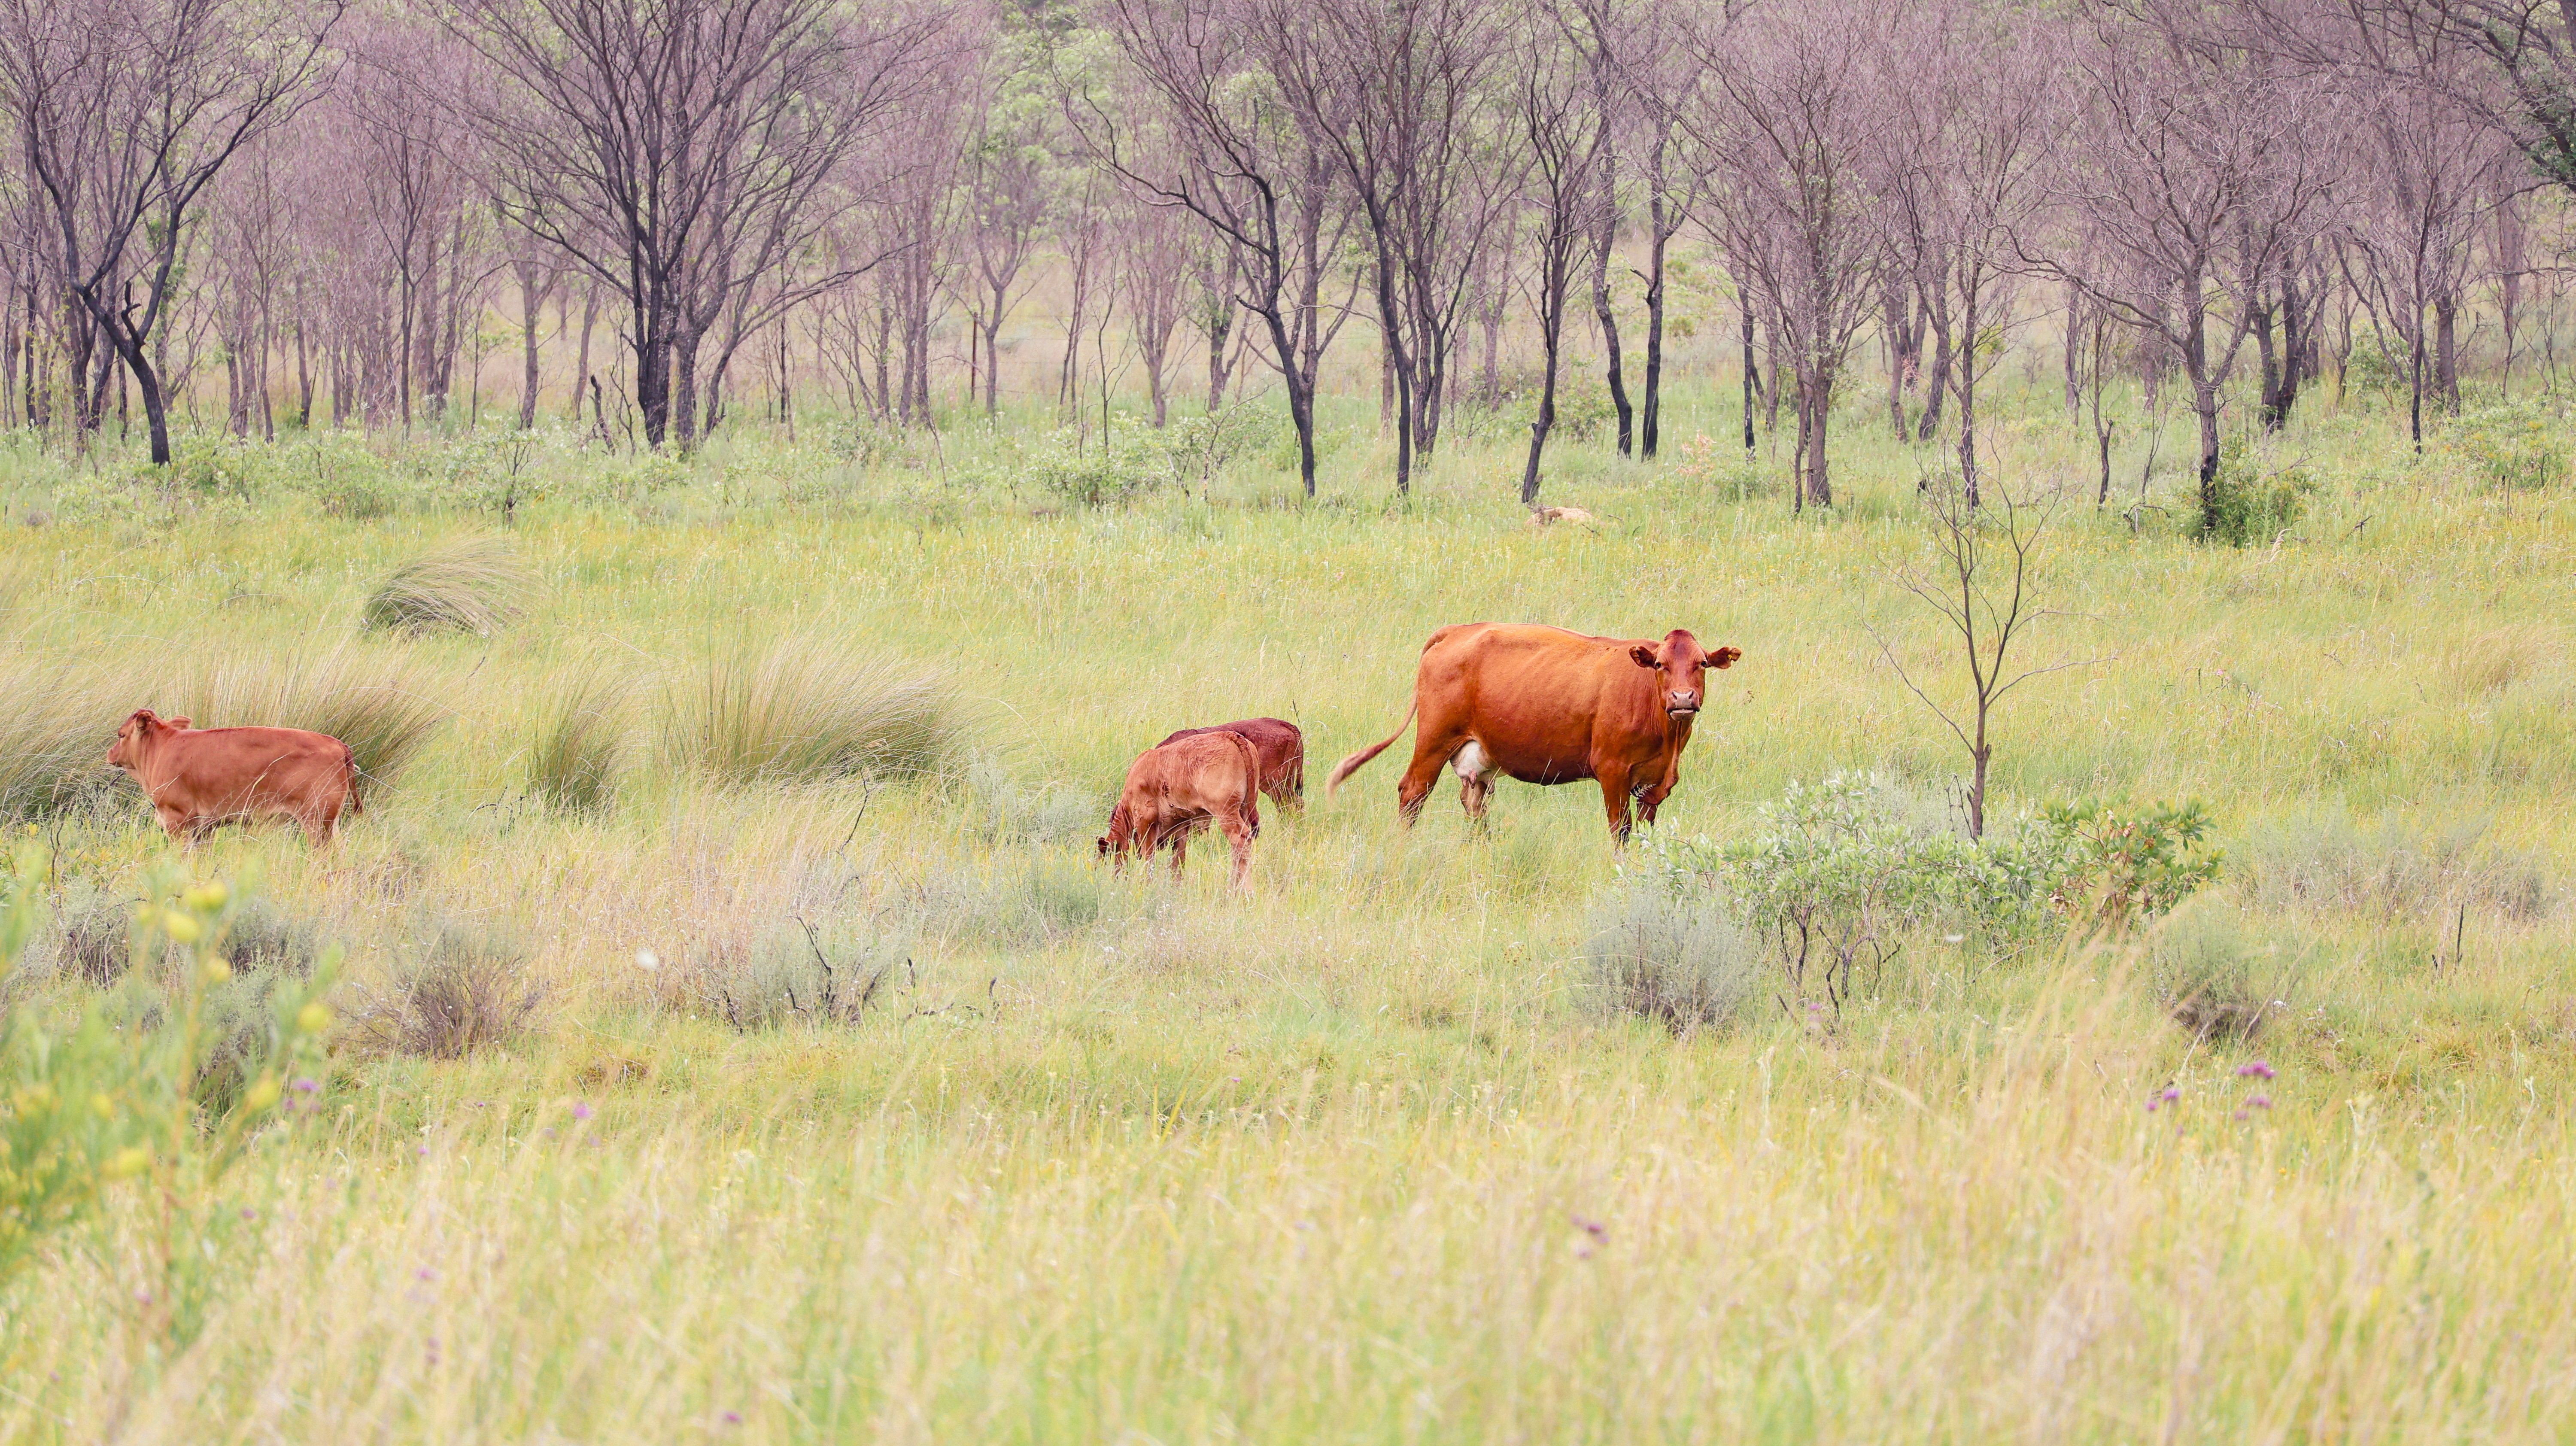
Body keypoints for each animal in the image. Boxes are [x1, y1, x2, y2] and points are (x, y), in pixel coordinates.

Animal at [105, 709, 360, 846]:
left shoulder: (177, 821)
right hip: (330, 824)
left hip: (318, 822)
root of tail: (336, 743)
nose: (110, 753)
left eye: (121, 735)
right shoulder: (204, 828)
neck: (163, 747)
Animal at [1098, 730, 1262, 887]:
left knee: (1241, 839)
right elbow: (1178, 862)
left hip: (1226, 813)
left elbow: (1149, 858)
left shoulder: (1146, 823)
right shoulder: (1181, 829)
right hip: (1244, 810)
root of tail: (1230, 736)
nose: (1115, 878)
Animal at [1326, 623, 1740, 842]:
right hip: (1434, 740)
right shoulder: (1612, 770)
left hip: (1479, 756)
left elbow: (1643, 833)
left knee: (1475, 803)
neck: (1669, 743)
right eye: (1659, 665)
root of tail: (1458, 630)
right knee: (1413, 792)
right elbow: (1619, 831)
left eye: (1702, 664)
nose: (1682, 698)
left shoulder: (1654, 785)